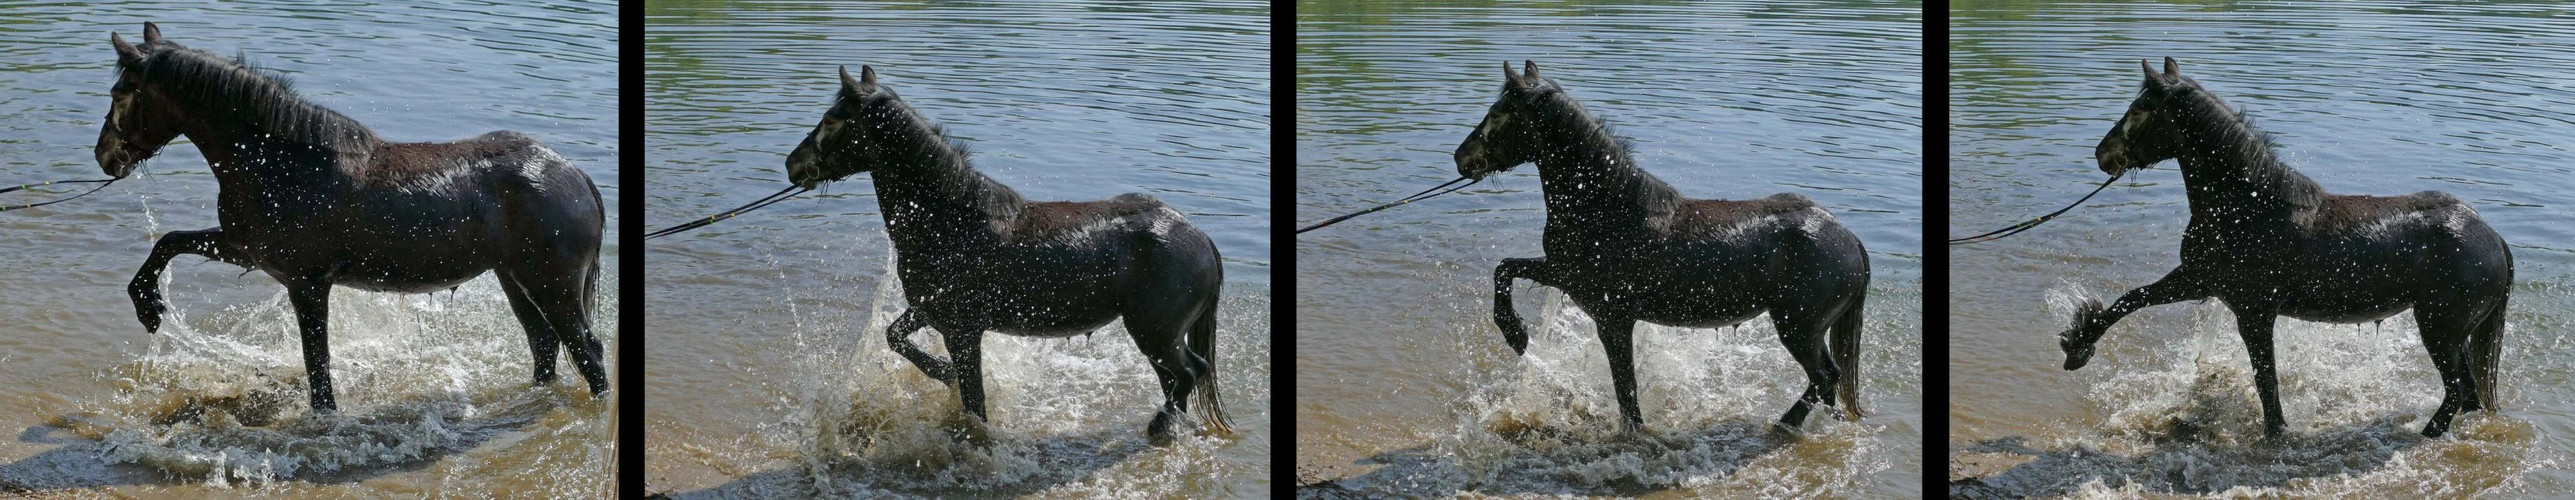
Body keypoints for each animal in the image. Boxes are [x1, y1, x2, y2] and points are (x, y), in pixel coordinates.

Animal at [97, 23, 610, 412]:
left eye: (121, 92)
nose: (105, 156)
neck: (279, 161)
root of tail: (574, 175)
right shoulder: (246, 249)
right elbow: (170, 240)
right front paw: (148, 304)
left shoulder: (306, 283)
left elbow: (319, 371)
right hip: (515, 278)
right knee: (544, 346)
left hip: (553, 283)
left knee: (587, 353)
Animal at [777, 66, 1230, 445]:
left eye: (832, 120)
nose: (791, 163)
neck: (950, 222)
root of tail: (1200, 237)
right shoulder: (930, 310)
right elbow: (895, 337)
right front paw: (944, 376)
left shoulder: (962, 331)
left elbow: (974, 404)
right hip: (1156, 335)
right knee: (1176, 378)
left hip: (1155, 332)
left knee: (1189, 372)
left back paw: (1163, 425)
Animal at [1472, 59, 1874, 432]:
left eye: (1497, 113)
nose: (1463, 158)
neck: (1607, 209)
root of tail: (1850, 239)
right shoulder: (1563, 274)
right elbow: (1505, 268)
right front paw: (1516, 334)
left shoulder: (1612, 319)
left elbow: (1627, 391)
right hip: (1811, 331)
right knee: (1829, 380)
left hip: (1799, 329)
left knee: (1824, 378)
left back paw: (1786, 424)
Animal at [2070, 57, 2513, 438]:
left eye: (2141, 108)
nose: (2102, 153)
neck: (2245, 207)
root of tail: (2494, 239)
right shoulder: (2199, 280)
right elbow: (2132, 298)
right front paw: (2078, 343)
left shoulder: (2252, 313)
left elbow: (2265, 379)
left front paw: (2276, 432)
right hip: (2456, 335)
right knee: (2469, 394)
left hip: (2440, 330)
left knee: (2456, 391)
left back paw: (2424, 434)